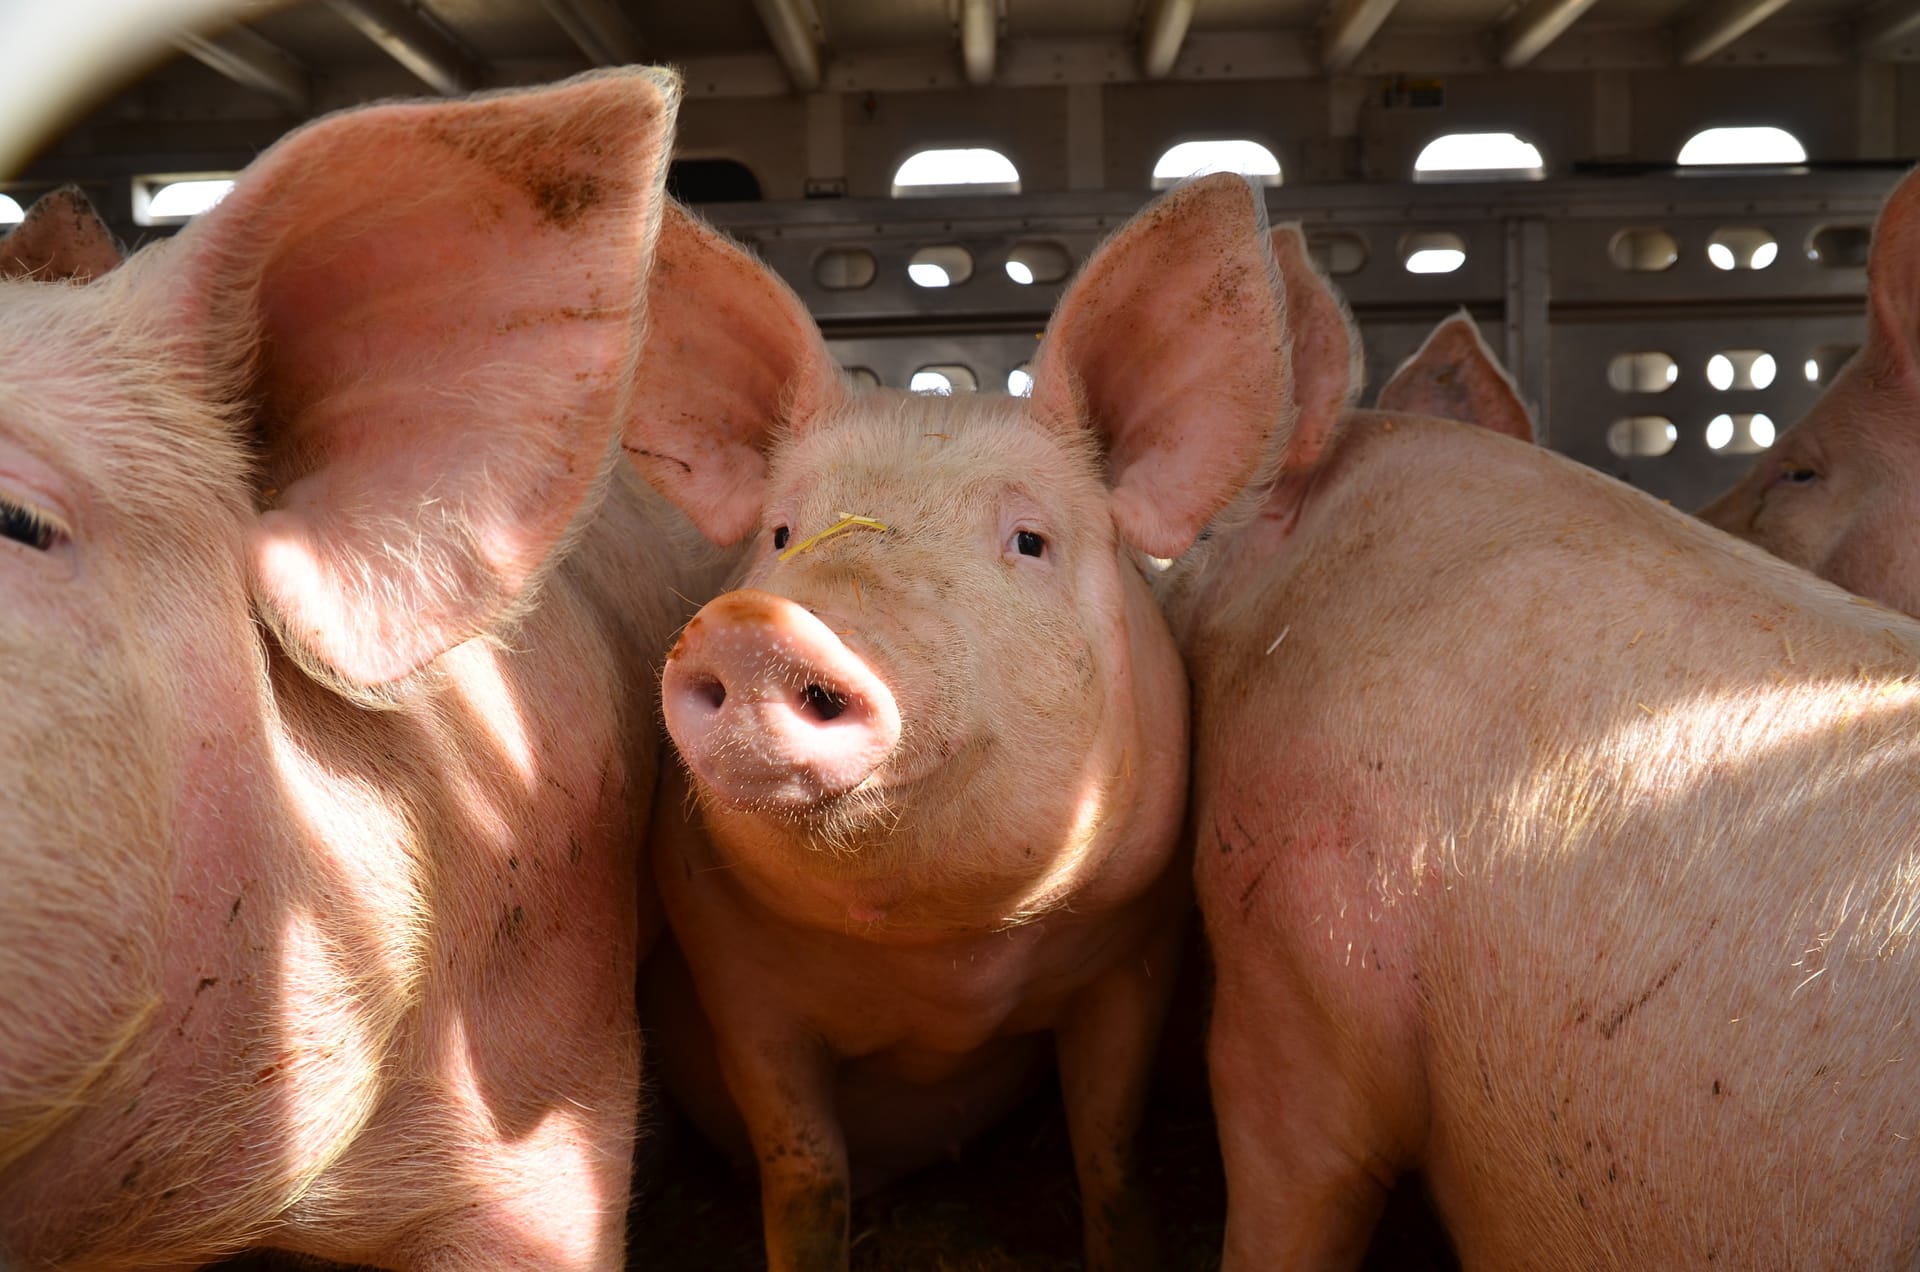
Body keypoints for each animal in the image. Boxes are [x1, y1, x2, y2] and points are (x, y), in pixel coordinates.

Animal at [626, 174, 1289, 1271]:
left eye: (1029, 540)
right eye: (781, 534)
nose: (762, 628)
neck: (942, 962)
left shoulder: (1136, 947)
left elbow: (1109, 1144)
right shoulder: (733, 976)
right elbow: (803, 1171)